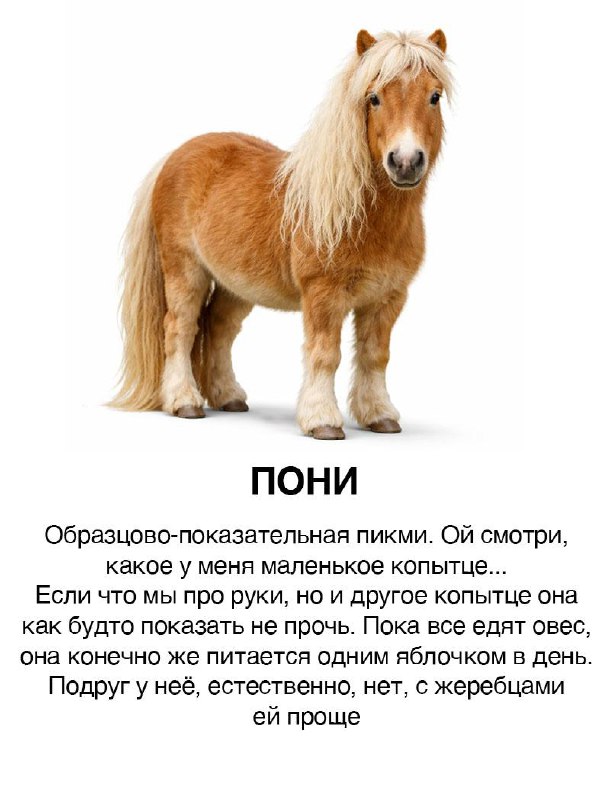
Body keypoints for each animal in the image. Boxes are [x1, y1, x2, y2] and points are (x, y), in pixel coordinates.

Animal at [111, 29, 453, 439]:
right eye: (374, 97)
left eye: (434, 96)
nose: (404, 162)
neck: (366, 218)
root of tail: (173, 157)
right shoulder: (323, 295)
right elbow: (325, 354)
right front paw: (322, 421)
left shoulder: (387, 299)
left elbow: (375, 356)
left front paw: (379, 416)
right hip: (184, 271)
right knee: (180, 329)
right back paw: (184, 402)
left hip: (236, 286)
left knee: (218, 328)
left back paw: (228, 397)